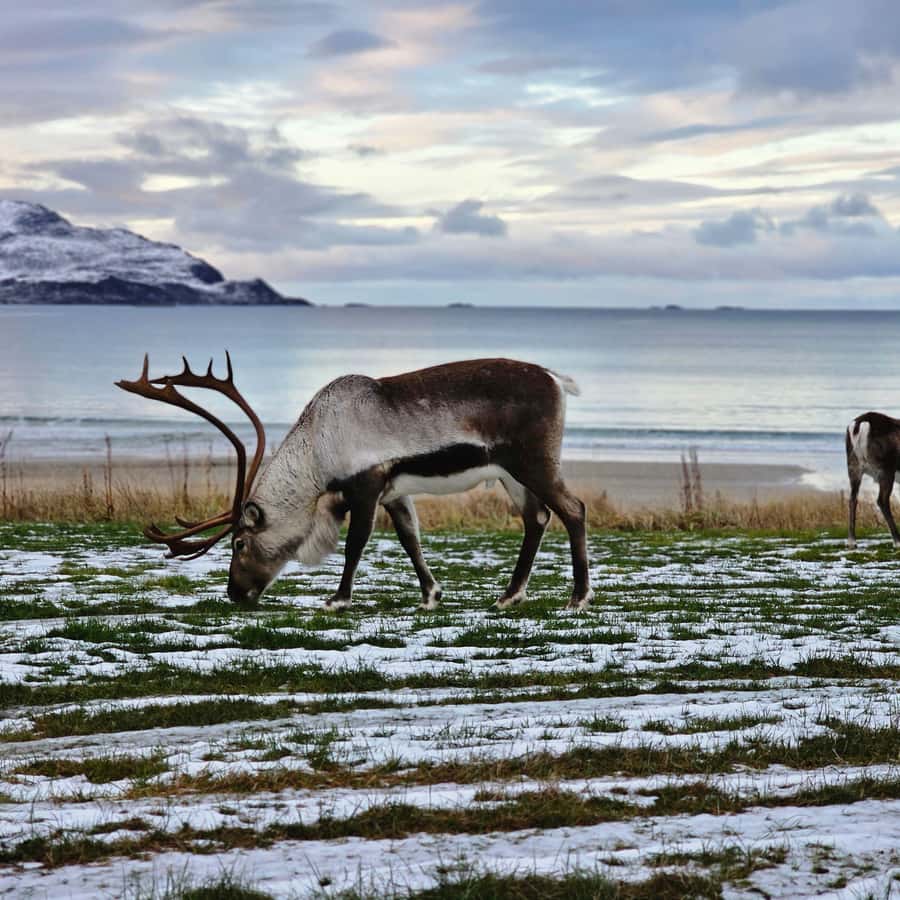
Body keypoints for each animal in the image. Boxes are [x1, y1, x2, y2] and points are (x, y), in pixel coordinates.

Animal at [117, 355, 593, 611]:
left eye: (239, 543)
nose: (235, 592)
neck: (318, 446)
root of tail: (555, 379)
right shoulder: (395, 492)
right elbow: (410, 539)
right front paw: (431, 595)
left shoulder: (365, 486)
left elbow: (355, 544)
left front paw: (338, 599)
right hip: (509, 473)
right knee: (537, 518)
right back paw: (508, 596)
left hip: (533, 462)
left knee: (573, 510)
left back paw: (577, 598)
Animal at [846, 411, 900, 549]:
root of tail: (860, 425)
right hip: (886, 470)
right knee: (882, 500)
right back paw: (897, 541)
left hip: (853, 467)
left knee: (852, 499)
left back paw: (852, 542)